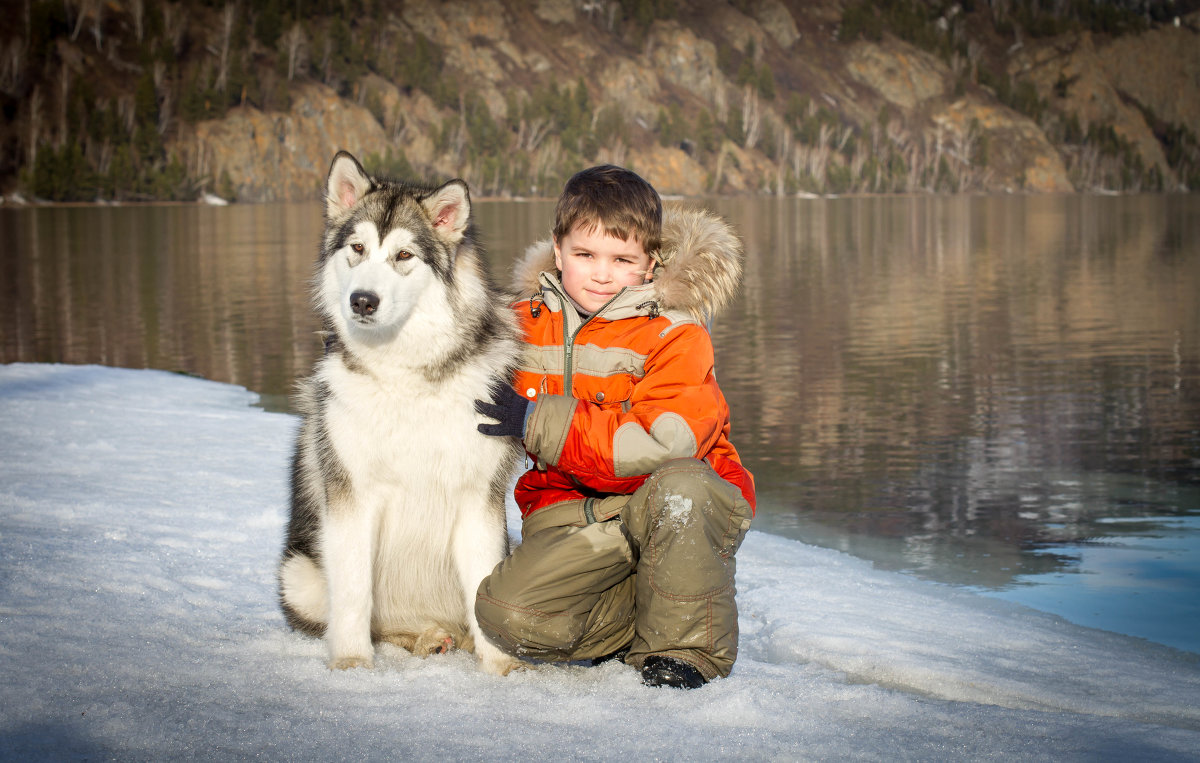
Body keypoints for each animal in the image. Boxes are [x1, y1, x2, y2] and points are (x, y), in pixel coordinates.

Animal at [283, 151, 528, 676]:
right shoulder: (352, 498)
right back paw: (421, 639)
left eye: (403, 256)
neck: (406, 377)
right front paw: (352, 664)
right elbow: (354, 594)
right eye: (357, 248)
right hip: (299, 574)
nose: (362, 300)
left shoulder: (477, 497)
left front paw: (500, 667)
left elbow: (484, 589)